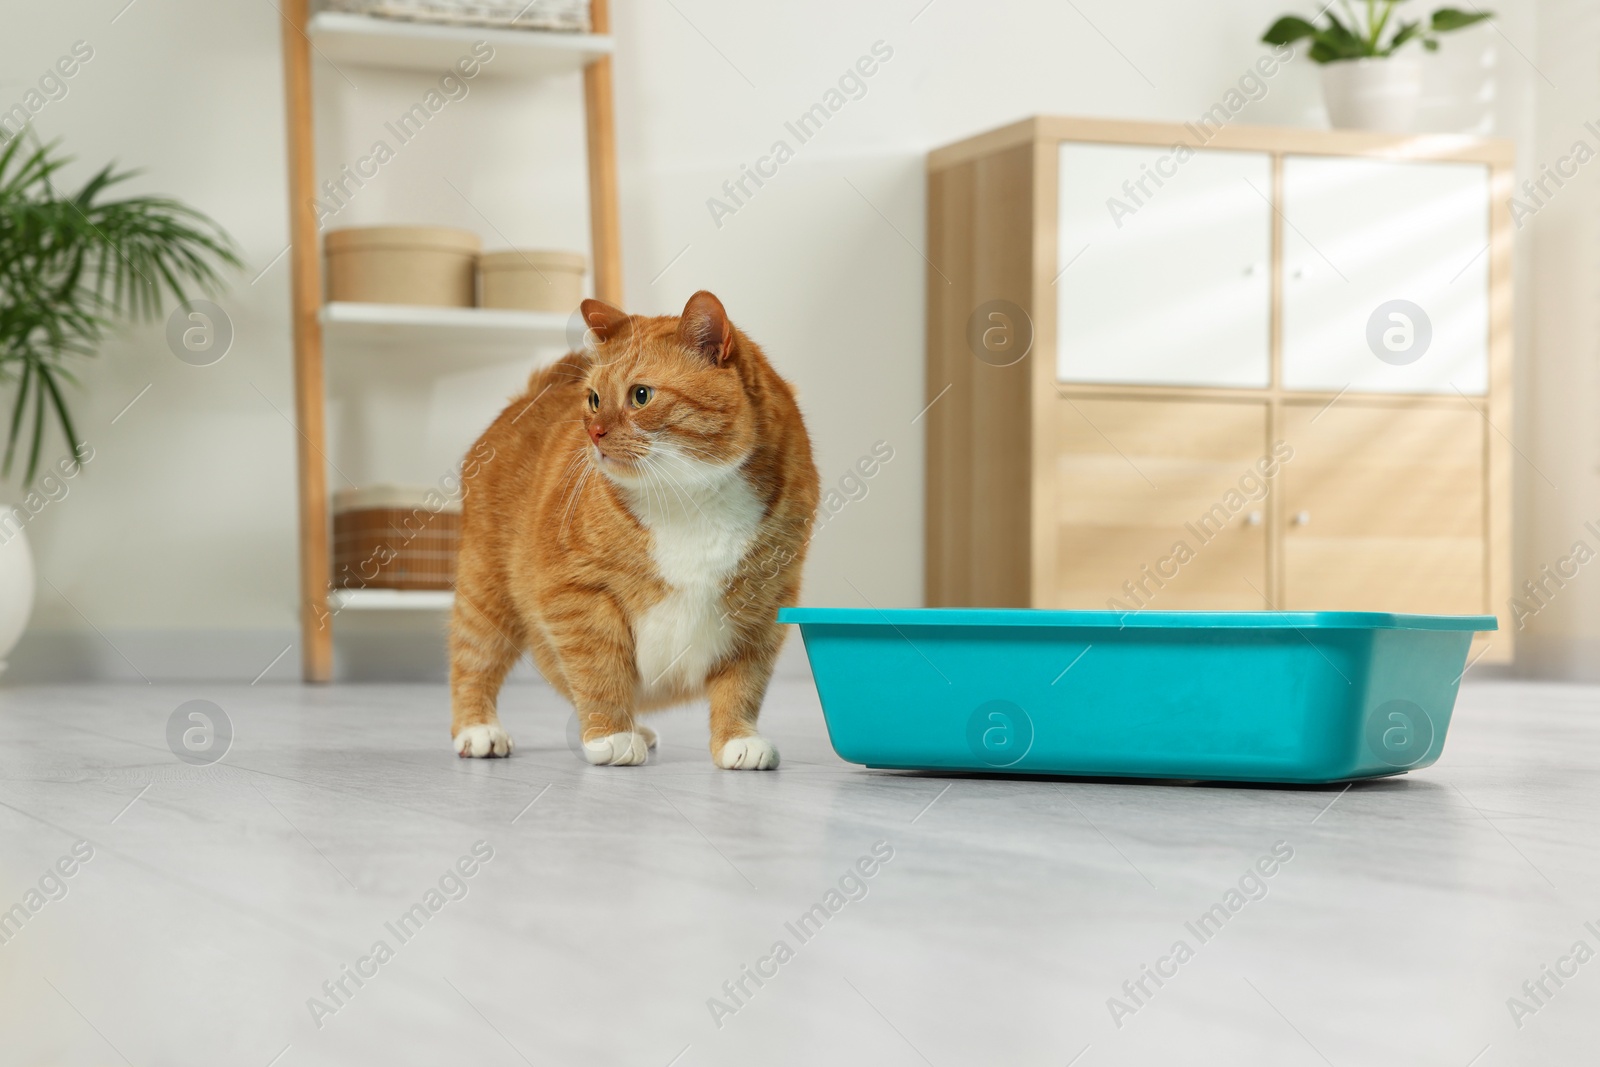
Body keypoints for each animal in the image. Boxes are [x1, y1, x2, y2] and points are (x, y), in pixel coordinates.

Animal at [451, 292, 825, 767]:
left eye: (640, 396)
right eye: (594, 399)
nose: (594, 432)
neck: (690, 498)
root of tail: (528, 394)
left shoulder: (764, 604)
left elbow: (743, 684)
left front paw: (737, 739)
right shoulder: (577, 594)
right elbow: (599, 670)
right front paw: (610, 736)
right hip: (486, 590)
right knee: (474, 659)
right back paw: (479, 730)